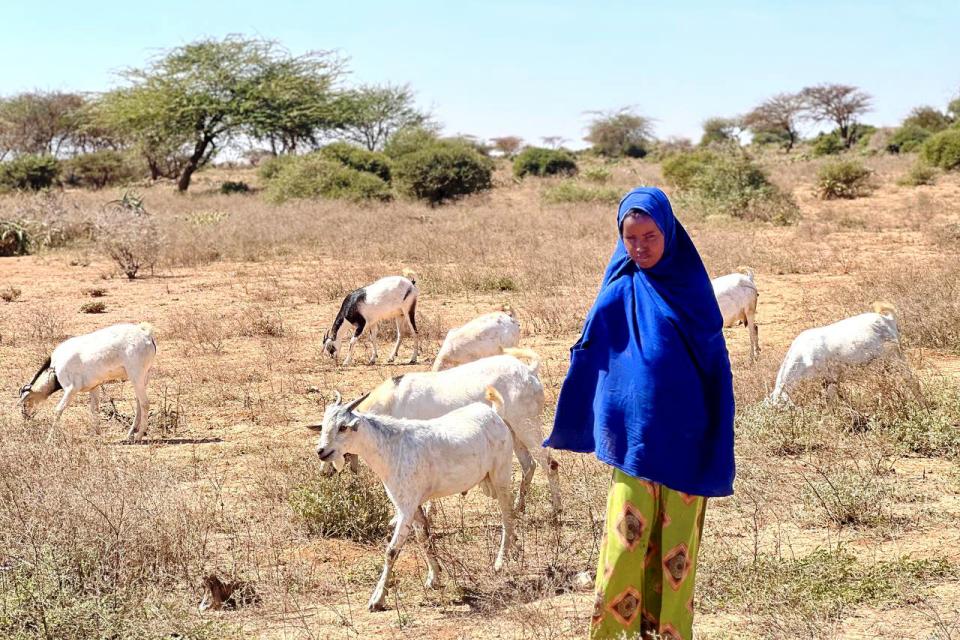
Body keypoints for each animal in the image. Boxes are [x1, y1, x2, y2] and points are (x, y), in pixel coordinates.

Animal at [18, 322, 157, 441]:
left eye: (25, 403)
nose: (26, 417)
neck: (55, 369)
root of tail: (145, 334)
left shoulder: (71, 389)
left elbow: (58, 410)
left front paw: (49, 439)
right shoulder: (94, 387)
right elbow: (94, 409)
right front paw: (97, 434)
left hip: (136, 376)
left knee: (145, 403)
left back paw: (139, 435)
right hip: (142, 378)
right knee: (139, 402)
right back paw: (130, 434)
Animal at [308, 387, 517, 612]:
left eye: (343, 427)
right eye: (324, 425)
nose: (321, 451)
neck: (391, 448)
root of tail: (495, 414)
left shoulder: (405, 509)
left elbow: (391, 551)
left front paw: (377, 599)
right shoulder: (414, 505)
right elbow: (424, 538)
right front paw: (434, 577)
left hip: (500, 476)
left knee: (507, 516)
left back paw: (501, 562)